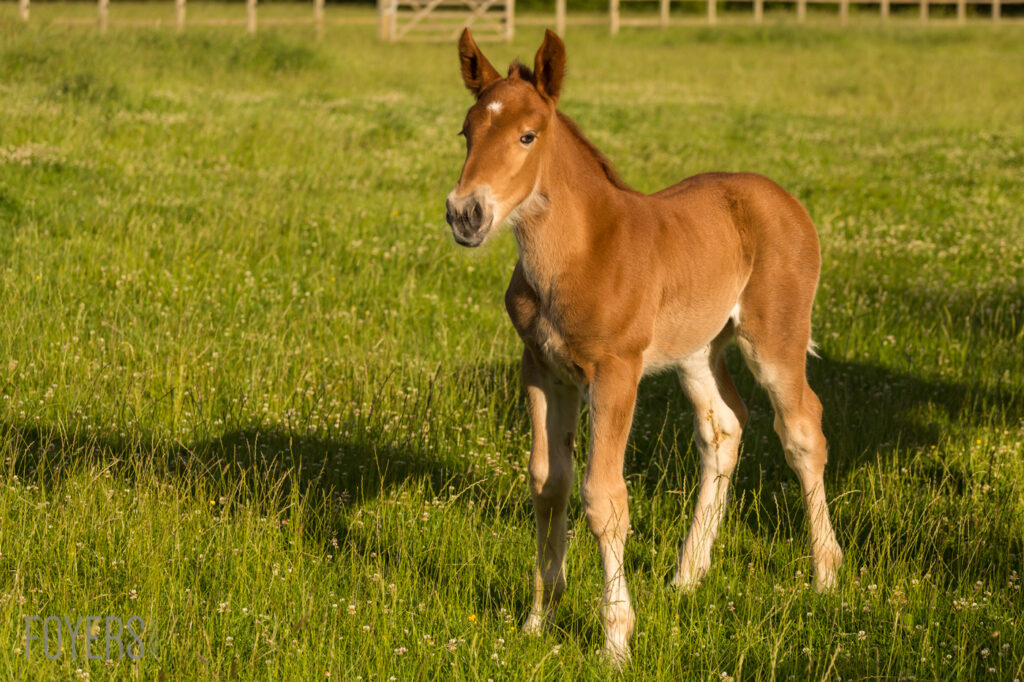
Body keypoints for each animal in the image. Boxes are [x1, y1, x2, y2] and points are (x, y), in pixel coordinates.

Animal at [445, 28, 843, 665]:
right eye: (467, 132)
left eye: (527, 135)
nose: (466, 213)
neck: (580, 253)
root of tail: (783, 198)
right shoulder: (542, 369)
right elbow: (549, 484)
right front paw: (537, 620)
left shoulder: (616, 371)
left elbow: (602, 497)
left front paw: (615, 638)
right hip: (698, 350)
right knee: (724, 428)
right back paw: (688, 574)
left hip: (775, 337)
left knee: (803, 430)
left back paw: (826, 574)